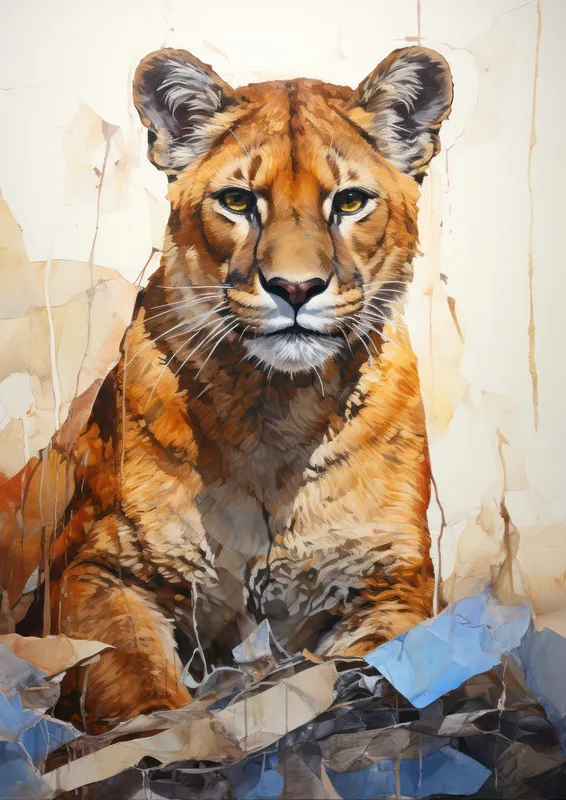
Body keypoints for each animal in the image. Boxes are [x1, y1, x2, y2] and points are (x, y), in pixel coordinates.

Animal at [45, 45, 453, 732]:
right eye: (237, 202)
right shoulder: (99, 568)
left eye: (350, 203)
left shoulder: (392, 576)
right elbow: (128, 674)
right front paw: (171, 732)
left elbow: (377, 662)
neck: (278, 412)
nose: (294, 288)